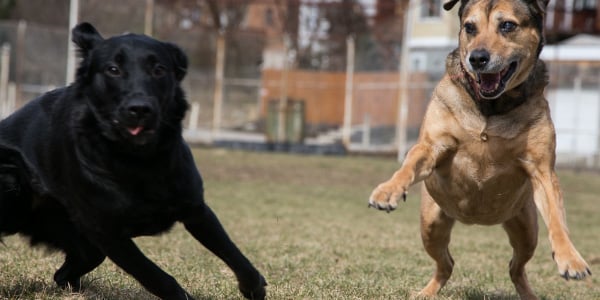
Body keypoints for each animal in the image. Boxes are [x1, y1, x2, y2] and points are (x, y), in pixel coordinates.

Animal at [0, 22, 264, 298]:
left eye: (159, 69)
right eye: (113, 70)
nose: (140, 109)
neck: (139, 160)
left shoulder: (195, 209)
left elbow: (233, 253)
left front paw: (254, 287)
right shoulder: (109, 234)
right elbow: (156, 277)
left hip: (84, 245)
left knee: (62, 274)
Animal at [366, 1, 592, 298]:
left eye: (507, 25)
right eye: (469, 27)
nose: (477, 58)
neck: (491, 106)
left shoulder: (541, 167)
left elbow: (557, 216)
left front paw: (571, 259)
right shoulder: (433, 144)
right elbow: (412, 161)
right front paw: (387, 191)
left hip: (525, 228)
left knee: (515, 266)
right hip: (431, 223)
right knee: (446, 263)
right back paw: (426, 292)